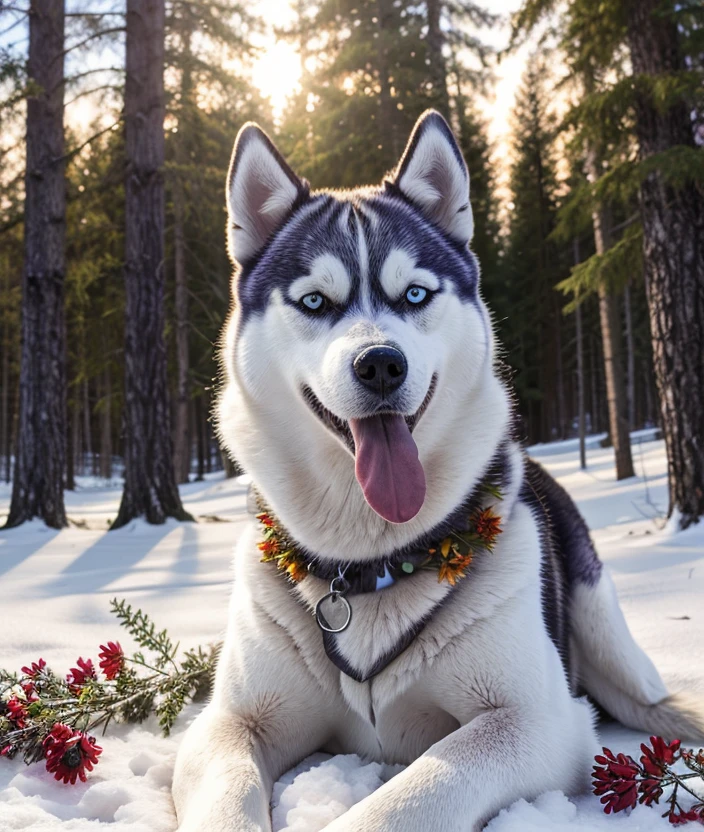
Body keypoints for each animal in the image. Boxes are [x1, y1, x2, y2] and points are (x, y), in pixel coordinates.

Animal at [172, 112, 704, 832]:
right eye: (314, 302)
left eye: (416, 293)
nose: (380, 363)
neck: (367, 563)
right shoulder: (231, 722)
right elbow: (225, 790)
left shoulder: (539, 721)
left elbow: (412, 793)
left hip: (605, 635)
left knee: (648, 700)